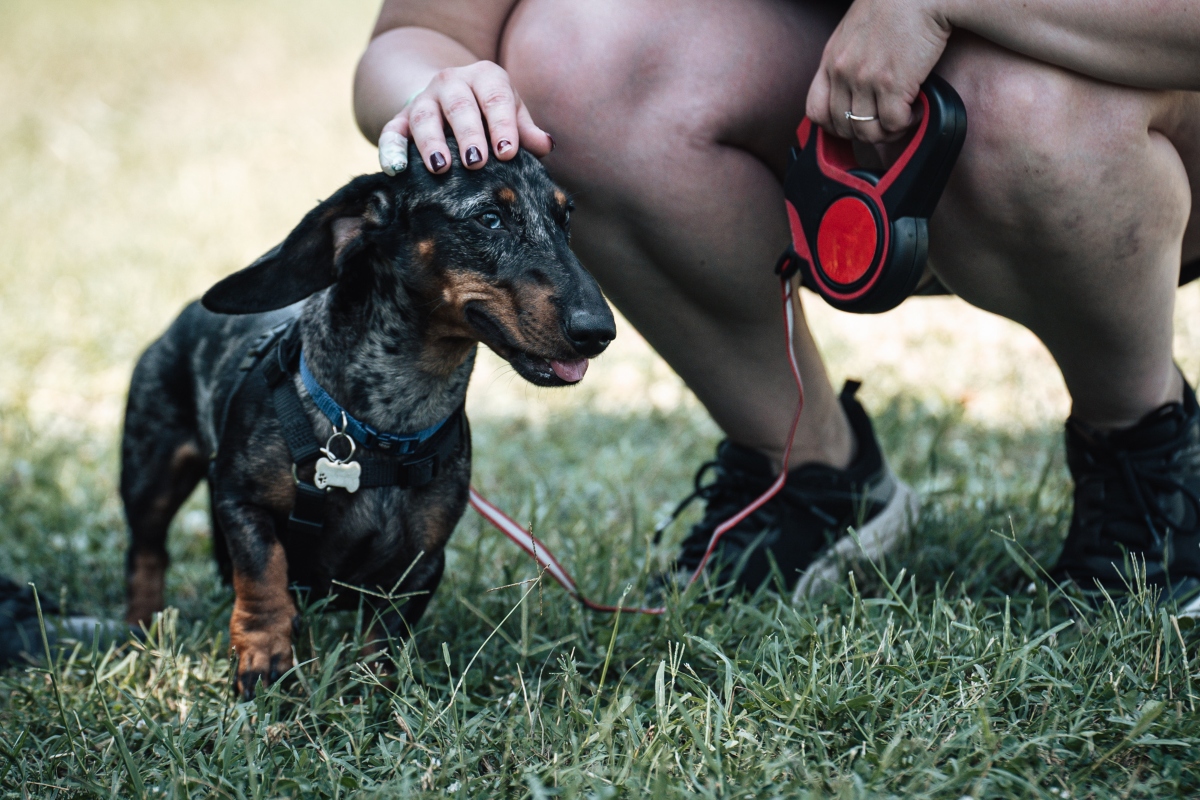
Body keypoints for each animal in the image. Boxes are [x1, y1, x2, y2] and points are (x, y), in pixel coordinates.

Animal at [119, 145, 619, 700]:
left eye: (566, 218)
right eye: (489, 218)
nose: (599, 331)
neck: (387, 427)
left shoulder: (422, 561)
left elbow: (385, 636)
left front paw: (372, 692)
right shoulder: (240, 502)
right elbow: (263, 574)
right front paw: (264, 661)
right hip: (150, 474)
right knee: (147, 551)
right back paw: (140, 628)